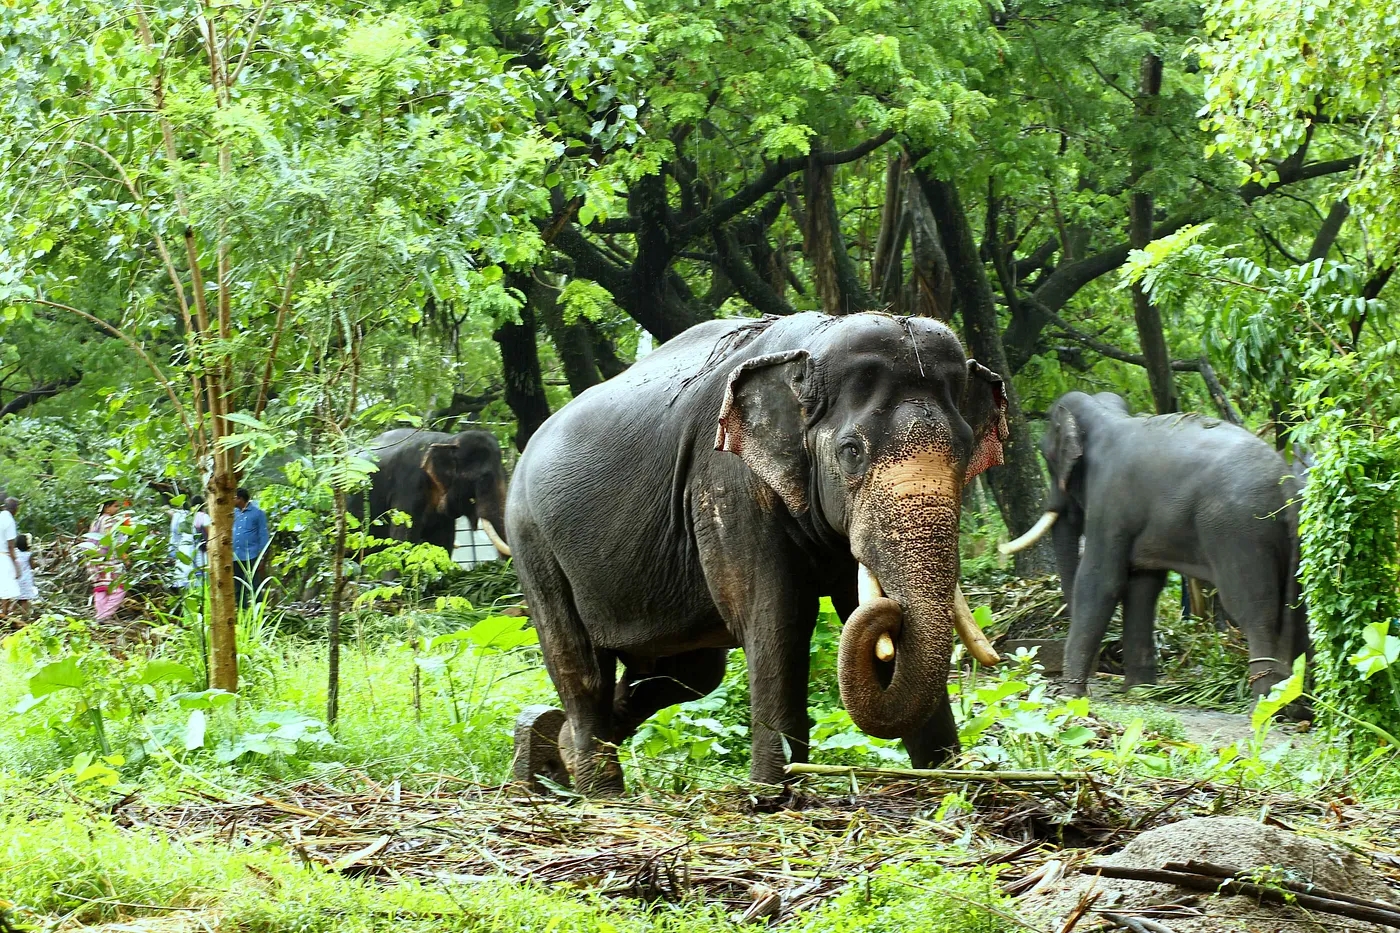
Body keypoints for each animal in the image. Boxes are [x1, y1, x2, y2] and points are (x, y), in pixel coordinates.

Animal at [506, 312, 1008, 795]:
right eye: (851, 451)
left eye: (966, 450)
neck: (810, 347)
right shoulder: (727, 483)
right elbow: (778, 617)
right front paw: (773, 794)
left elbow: (851, 609)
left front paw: (949, 783)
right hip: (531, 540)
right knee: (581, 667)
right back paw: (597, 789)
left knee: (686, 675)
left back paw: (552, 749)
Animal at [1000, 391, 1308, 706]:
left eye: (1046, 455)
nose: (1087, 686)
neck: (1105, 414)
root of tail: (1286, 487)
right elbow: (1142, 585)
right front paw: (1140, 690)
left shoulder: (1109, 502)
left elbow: (1100, 583)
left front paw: (1069, 698)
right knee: (1298, 608)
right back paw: (1295, 703)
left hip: (1241, 531)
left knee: (1254, 608)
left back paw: (1266, 702)